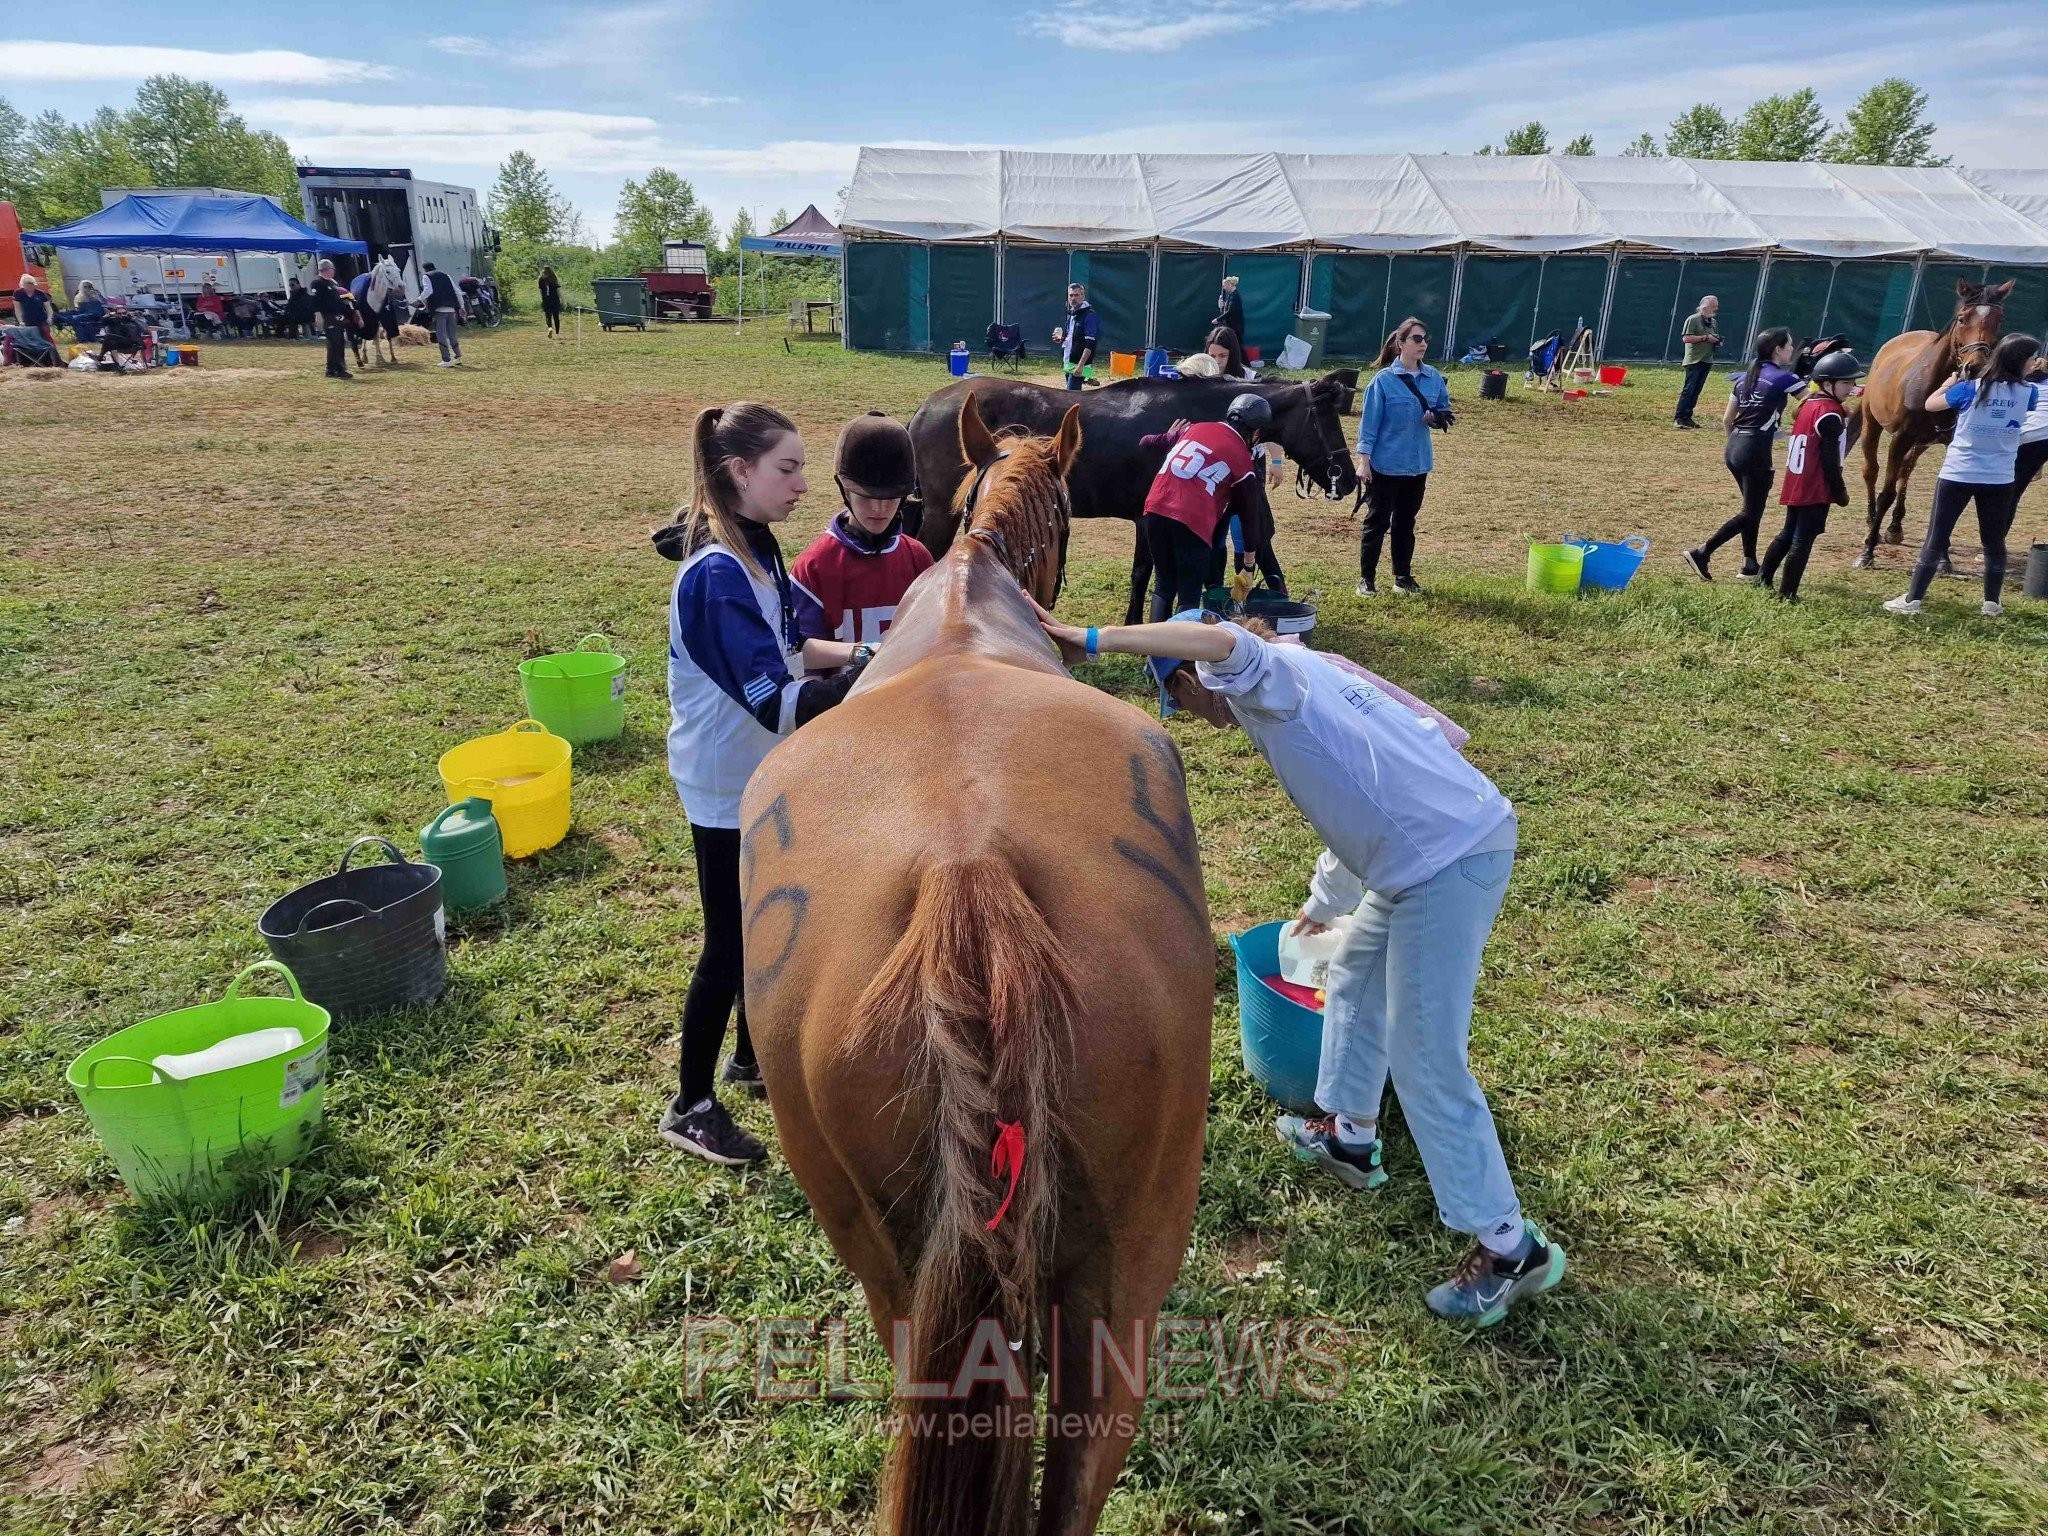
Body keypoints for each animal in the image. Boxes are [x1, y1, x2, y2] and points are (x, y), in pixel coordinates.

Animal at [909, 374, 1359, 626]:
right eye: (1326, 420)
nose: (1351, 478)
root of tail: (926, 406)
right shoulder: (1147, 521)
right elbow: (1146, 574)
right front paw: (1135, 623)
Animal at [1851, 280, 2007, 569]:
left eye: (1998, 321)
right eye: (1962, 319)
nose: (1975, 368)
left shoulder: (1949, 442)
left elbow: (1946, 499)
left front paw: (1943, 557)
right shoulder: (1900, 439)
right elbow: (1886, 493)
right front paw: (1867, 550)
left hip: (1921, 442)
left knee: (1905, 471)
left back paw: (1895, 527)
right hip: (1872, 425)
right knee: (1872, 471)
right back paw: (1872, 520)